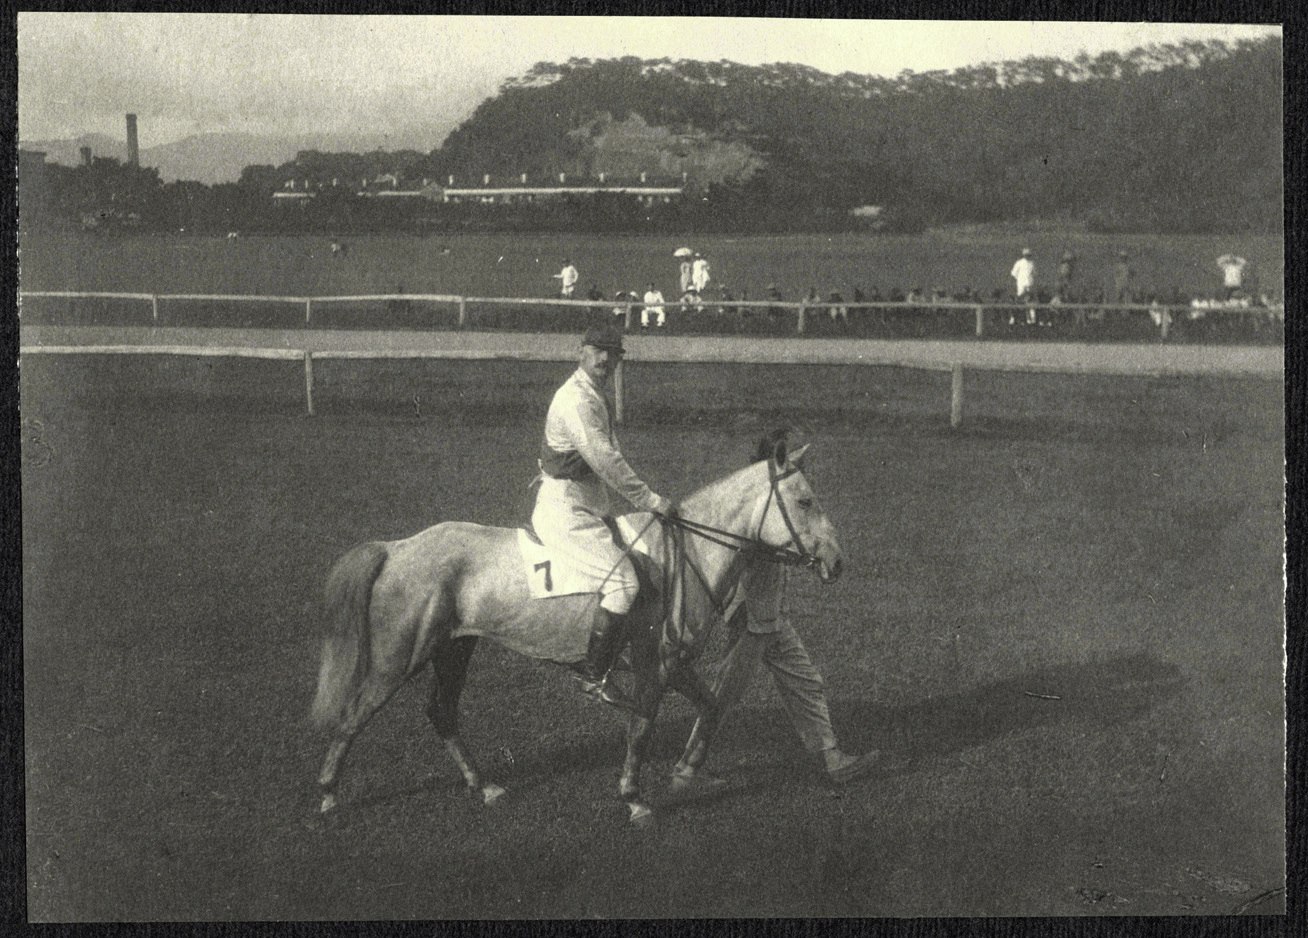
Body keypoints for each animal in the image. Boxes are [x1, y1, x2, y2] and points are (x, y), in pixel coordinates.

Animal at [309, 434, 842, 821]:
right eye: (805, 500)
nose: (837, 563)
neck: (686, 554)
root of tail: (397, 547)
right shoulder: (655, 667)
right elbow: (641, 728)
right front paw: (634, 798)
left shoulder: (674, 664)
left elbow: (711, 707)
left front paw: (689, 771)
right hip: (400, 658)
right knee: (355, 714)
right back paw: (329, 793)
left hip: (455, 649)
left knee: (441, 711)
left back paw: (484, 786)